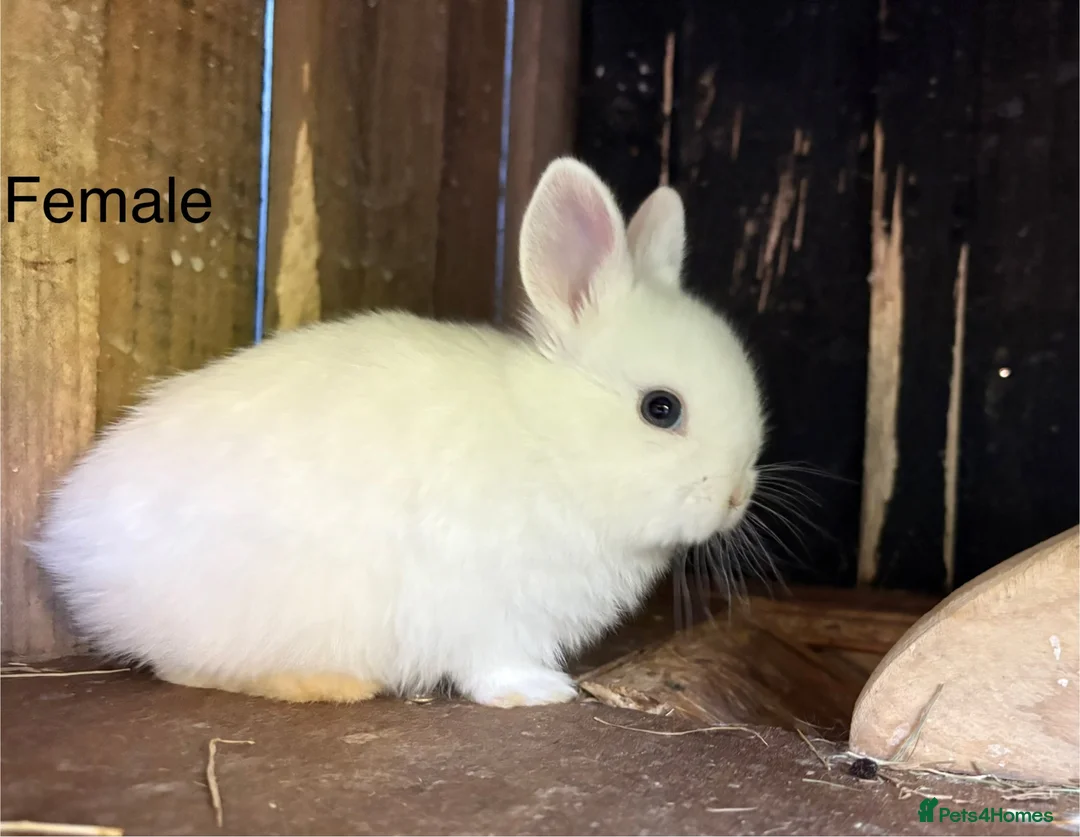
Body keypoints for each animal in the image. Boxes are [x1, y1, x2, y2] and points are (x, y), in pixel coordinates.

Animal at [31, 157, 765, 707]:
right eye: (661, 409)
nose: (736, 497)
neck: (552, 441)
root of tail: (69, 542)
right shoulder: (490, 610)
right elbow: (494, 664)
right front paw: (541, 692)